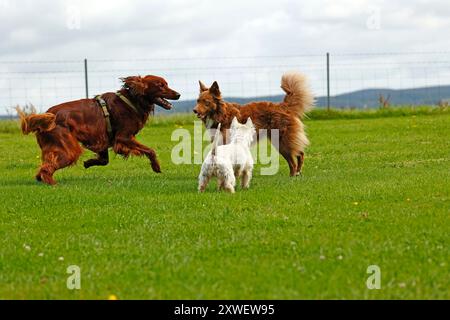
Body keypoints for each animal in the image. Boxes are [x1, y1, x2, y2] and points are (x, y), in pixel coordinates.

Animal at [17, 75, 179, 185]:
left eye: (166, 84)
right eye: (160, 85)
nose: (178, 94)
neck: (132, 100)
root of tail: (48, 115)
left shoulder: (103, 140)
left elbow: (104, 160)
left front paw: (88, 162)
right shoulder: (124, 137)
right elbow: (150, 150)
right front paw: (156, 166)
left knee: (43, 167)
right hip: (69, 150)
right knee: (47, 168)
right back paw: (53, 184)